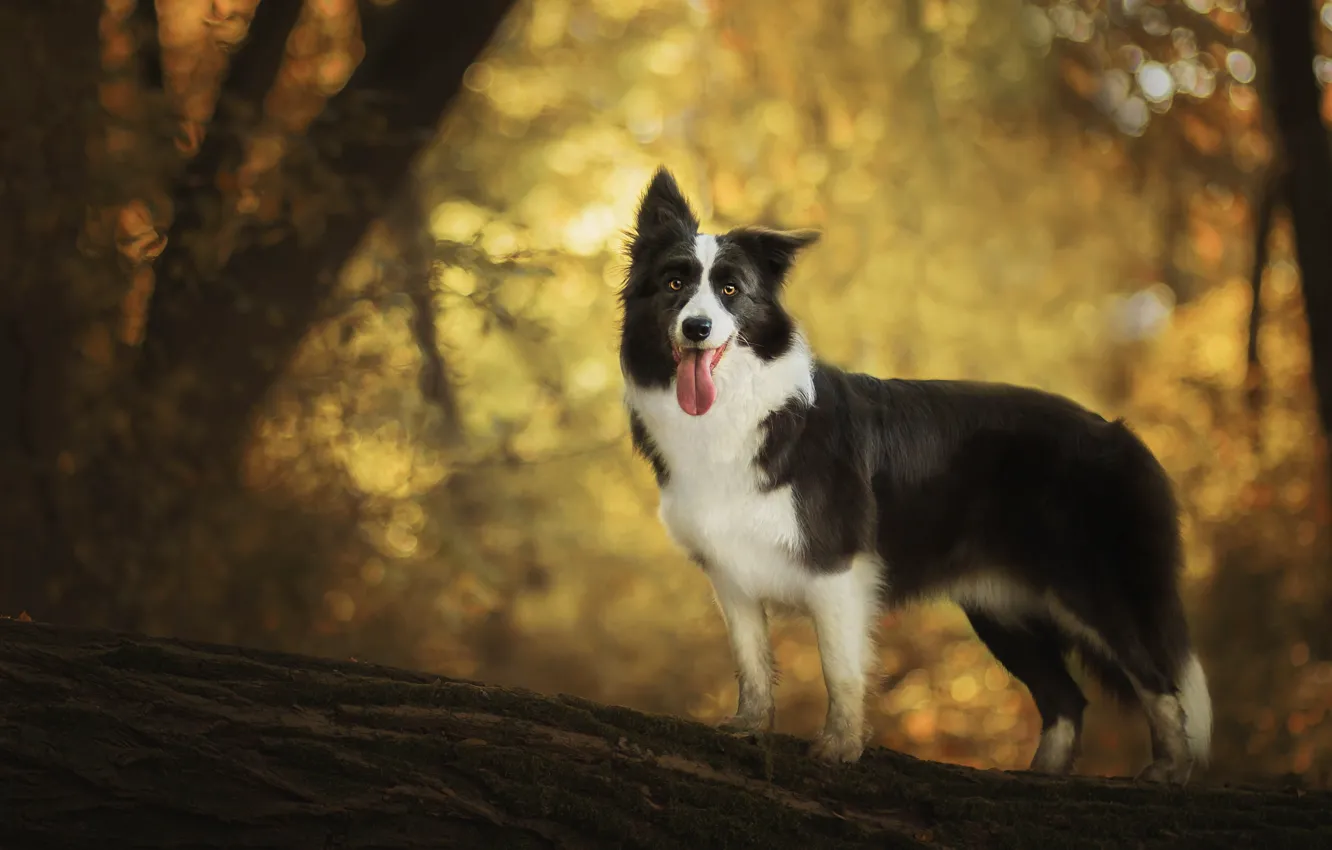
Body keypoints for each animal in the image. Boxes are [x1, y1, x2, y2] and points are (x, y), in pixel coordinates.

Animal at [618, 166, 1214, 788]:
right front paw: (749, 728)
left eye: (731, 290)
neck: (743, 405)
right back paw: (1041, 776)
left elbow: (841, 668)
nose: (697, 327)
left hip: (1085, 582)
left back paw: (1170, 769)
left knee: (1157, 680)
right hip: (1000, 608)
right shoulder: (730, 573)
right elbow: (752, 662)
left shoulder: (837, 568)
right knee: (1067, 699)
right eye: (674, 283)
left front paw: (839, 749)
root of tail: (1119, 433)